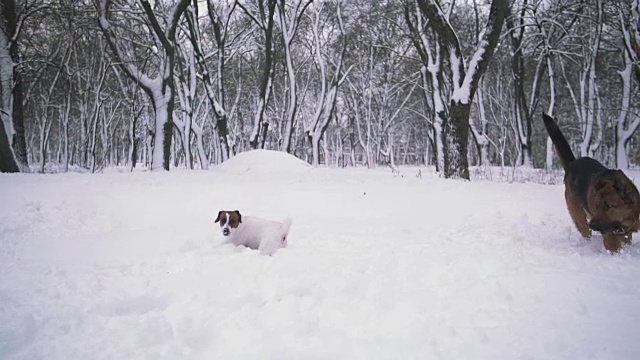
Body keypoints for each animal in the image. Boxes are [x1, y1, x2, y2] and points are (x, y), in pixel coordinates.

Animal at [540, 114, 640, 252]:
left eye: (609, 206)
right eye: (596, 206)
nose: (592, 224)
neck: (623, 222)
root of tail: (572, 164)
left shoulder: (626, 234)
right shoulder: (610, 240)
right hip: (580, 219)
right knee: (585, 233)